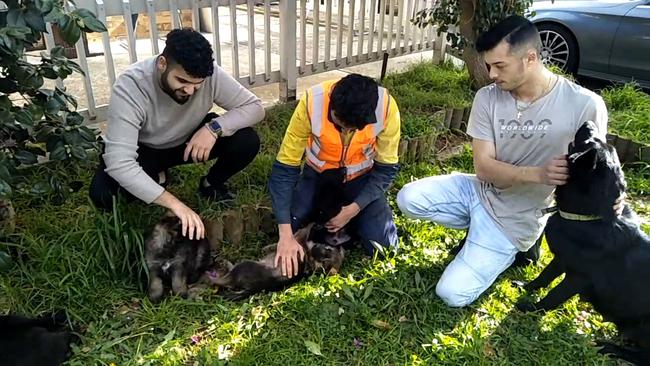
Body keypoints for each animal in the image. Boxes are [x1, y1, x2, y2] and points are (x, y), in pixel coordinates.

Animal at [516, 121, 648, 366]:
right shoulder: (561, 260)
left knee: (644, 357)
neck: (589, 218)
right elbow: (544, 277)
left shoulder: (577, 278)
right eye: (596, 139)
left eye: (589, 142)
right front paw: (526, 287)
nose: (588, 122)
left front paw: (532, 308)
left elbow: (553, 295)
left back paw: (609, 348)